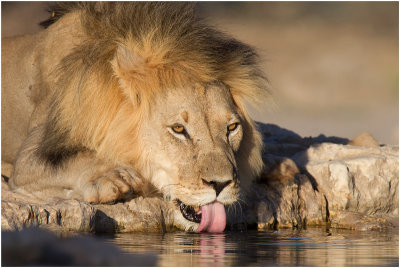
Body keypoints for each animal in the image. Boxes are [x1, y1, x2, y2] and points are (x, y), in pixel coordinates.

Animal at [1, 2, 268, 232]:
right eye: (178, 129)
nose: (221, 184)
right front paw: (112, 178)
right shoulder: (30, 157)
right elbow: (76, 159)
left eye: (232, 127)